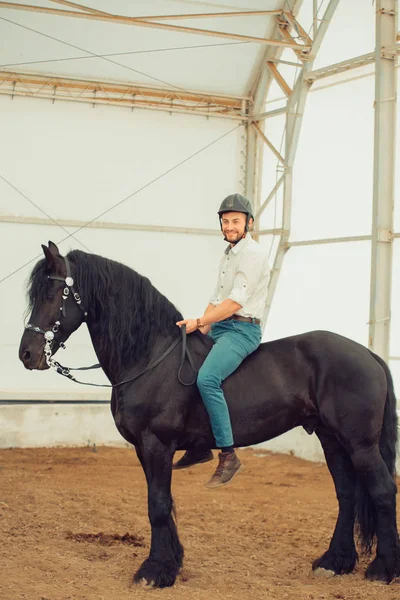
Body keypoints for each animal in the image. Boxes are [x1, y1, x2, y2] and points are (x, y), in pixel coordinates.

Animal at [19, 243, 400, 584]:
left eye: (53, 294)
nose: (27, 354)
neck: (149, 355)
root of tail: (369, 354)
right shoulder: (145, 449)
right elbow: (163, 503)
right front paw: (171, 563)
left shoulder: (157, 444)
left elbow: (157, 504)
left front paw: (154, 572)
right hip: (331, 439)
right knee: (347, 493)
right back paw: (334, 562)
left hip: (360, 444)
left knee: (382, 490)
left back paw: (383, 569)